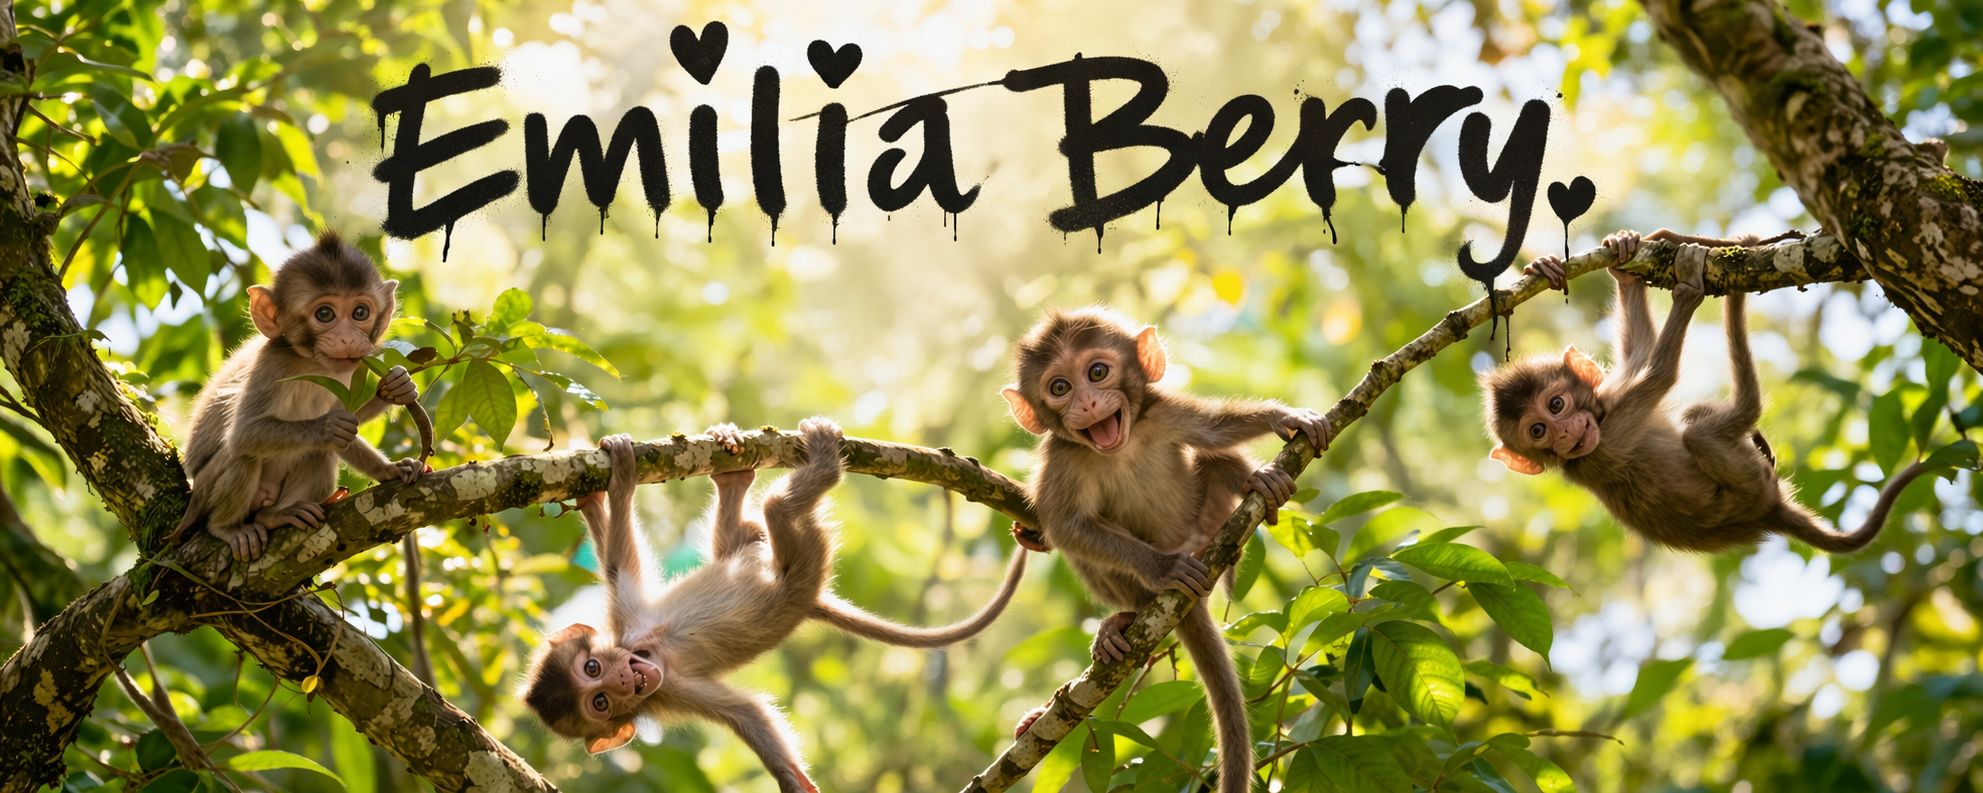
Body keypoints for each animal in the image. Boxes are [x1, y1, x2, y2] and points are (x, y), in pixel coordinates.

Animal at [170, 231, 426, 562]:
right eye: (325, 314)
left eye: (360, 312)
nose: (348, 339)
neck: (309, 363)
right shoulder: (271, 366)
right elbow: (244, 433)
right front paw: (326, 426)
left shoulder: (342, 374)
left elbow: (349, 427)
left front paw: (395, 392)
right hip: (204, 493)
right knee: (242, 454)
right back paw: (227, 527)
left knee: (321, 453)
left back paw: (276, 515)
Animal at [522, 419, 1030, 791]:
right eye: (601, 703)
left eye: (593, 670)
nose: (625, 680)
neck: (648, 653)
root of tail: (811, 598)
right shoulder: (669, 690)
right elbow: (748, 715)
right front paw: (792, 779)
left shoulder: (631, 628)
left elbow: (617, 558)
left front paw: (611, 484)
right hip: (807, 556)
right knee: (771, 514)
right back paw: (778, 478)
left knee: (757, 524)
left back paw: (752, 469)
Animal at [996, 306, 1333, 793]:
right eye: (1059, 388)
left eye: (1097, 372)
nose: (1088, 403)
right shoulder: (1062, 459)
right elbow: (1067, 528)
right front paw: (1165, 567)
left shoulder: (1163, 412)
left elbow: (1214, 433)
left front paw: (1285, 418)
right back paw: (1125, 619)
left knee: (1219, 461)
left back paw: (1259, 494)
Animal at [1489, 229, 1932, 554]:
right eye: (1538, 432)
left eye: (1556, 405)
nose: (1564, 435)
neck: (1600, 417)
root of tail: (1770, 512)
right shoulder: (1607, 441)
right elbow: (1662, 374)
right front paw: (1688, 288)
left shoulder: (1612, 398)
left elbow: (1642, 351)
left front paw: (1622, 263)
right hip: (1755, 482)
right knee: (1700, 433)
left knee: (1693, 418)